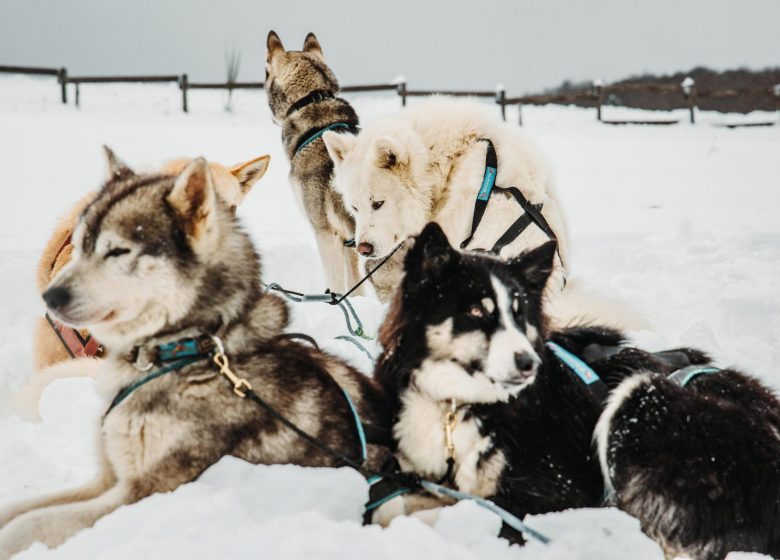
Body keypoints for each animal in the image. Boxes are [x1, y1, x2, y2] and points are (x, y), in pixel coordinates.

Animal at [372, 223, 780, 560]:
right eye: (476, 311)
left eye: (519, 314)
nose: (528, 363)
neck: (457, 407)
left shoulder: (552, 495)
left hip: (640, 397)